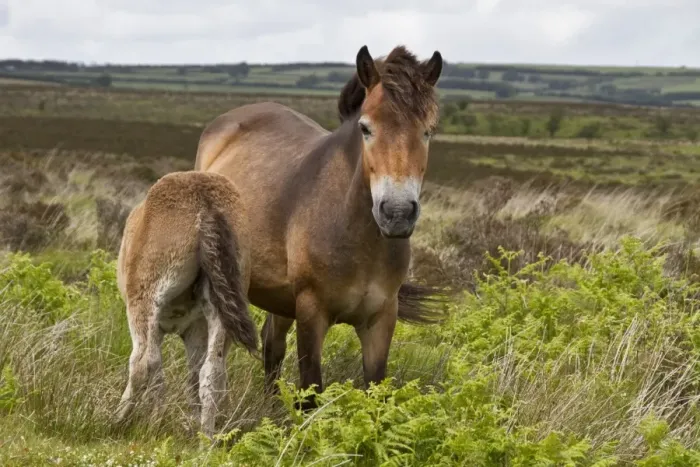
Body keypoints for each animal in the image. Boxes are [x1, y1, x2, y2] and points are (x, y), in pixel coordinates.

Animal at [114, 170, 258, 437]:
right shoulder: (196, 330)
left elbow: (153, 365)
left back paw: (117, 418)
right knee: (212, 372)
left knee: (141, 362)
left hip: (144, 300)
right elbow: (193, 375)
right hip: (220, 308)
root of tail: (205, 201)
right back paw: (206, 439)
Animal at [194, 44, 445, 410]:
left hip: (280, 300)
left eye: (427, 130)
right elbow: (311, 391)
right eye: (366, 128)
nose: (397, 213)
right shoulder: (312, 313)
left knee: (272, 347)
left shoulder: (381, 318)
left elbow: (376, 391)